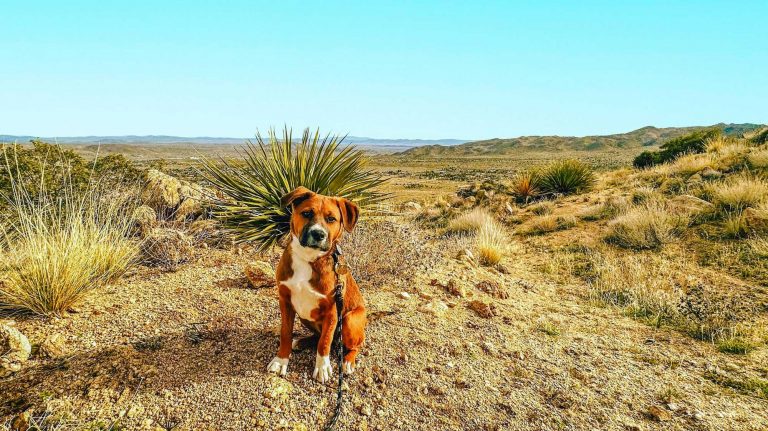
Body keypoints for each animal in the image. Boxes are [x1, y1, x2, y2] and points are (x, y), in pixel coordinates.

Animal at [268, 187, 368, 384]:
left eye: (331, 219)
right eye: (307, 213)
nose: (318, 234)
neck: (308, 258)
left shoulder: (332, 311)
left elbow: (324, 342)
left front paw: (322, 367)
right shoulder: (285, 301)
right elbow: (285, 333)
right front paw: (281, 360)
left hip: (350, 319)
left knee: (354, 345)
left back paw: (348, 361)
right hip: (305, 317)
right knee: (317, 336)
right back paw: (301, 341)